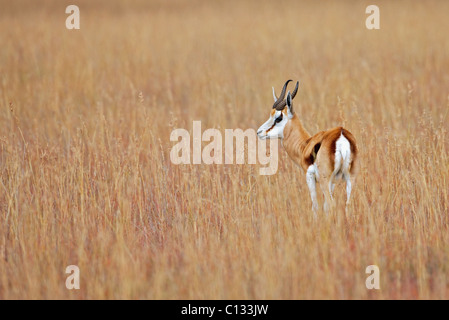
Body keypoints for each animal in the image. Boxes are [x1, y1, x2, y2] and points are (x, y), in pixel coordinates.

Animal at [256, 80, 356, 215]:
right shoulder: (333, 182)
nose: (259, 132)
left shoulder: (310, 177)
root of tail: (341, 136)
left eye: (278, 118)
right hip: (350, 178)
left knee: (331, 204)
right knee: (348, 205)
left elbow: (316, 206)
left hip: (325, 180)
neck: (305, 145)